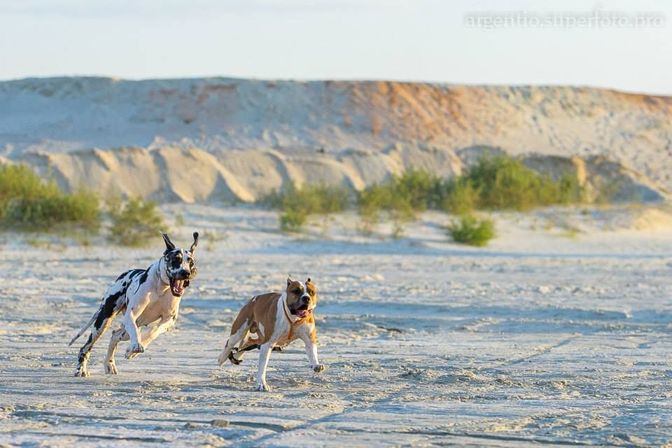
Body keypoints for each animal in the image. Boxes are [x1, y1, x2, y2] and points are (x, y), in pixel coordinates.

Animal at [69, 233, 198, 376]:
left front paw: (133, 350)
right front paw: (136, 346)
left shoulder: (169, 320)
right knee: (86, 347)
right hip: (103, 323)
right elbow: (136, 333)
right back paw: (81, 369)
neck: (161, 287)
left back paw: (109, 364)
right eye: (176, 259)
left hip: (127, 330)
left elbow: (154, 331)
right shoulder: (132, 314)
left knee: (115, 335)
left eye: (191, 262)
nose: (186, 273)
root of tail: (122, 276)